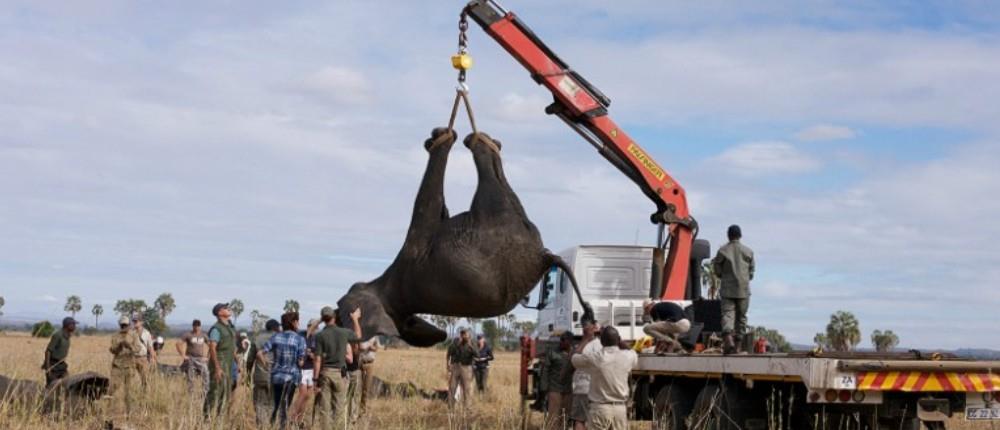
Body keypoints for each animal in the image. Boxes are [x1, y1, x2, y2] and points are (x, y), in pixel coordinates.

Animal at [340, 127, 588, 346]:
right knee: (493, 180)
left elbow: (436, 209)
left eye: (354, 287)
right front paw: (442, 138)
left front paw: (437, 138)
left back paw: (485, 141)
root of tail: (544, 256)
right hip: (495, 215)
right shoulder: (415, 252)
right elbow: (428, 207)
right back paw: (481, 142)